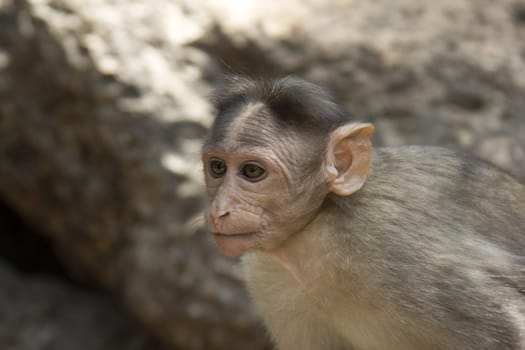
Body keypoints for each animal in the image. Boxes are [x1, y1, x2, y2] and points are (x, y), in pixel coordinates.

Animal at [201, 75, 524, 348]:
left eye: (252, 172)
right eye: (217, 168)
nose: (219, 210)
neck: (315, 230)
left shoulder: (394, 250)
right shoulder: (267, 277)